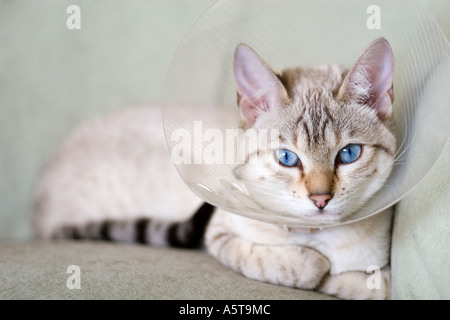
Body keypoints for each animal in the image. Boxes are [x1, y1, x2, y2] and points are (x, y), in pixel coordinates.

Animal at [33, 38, 396, 300]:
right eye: (287, 158)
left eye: (348, 154)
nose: (321, 200)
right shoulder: (218, 234)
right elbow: (294, 265)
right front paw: (318, 266)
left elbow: (372, 284)